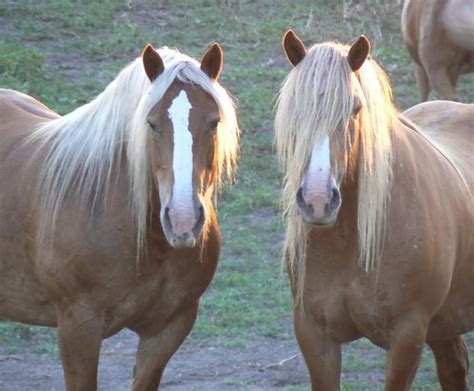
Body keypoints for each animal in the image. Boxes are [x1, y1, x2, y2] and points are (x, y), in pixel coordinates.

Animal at [276, 29, 472, 390]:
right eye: (295, 107)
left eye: (355, 108)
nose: (318, 201)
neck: (349, 243)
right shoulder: (314, 335)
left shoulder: (407, 336)